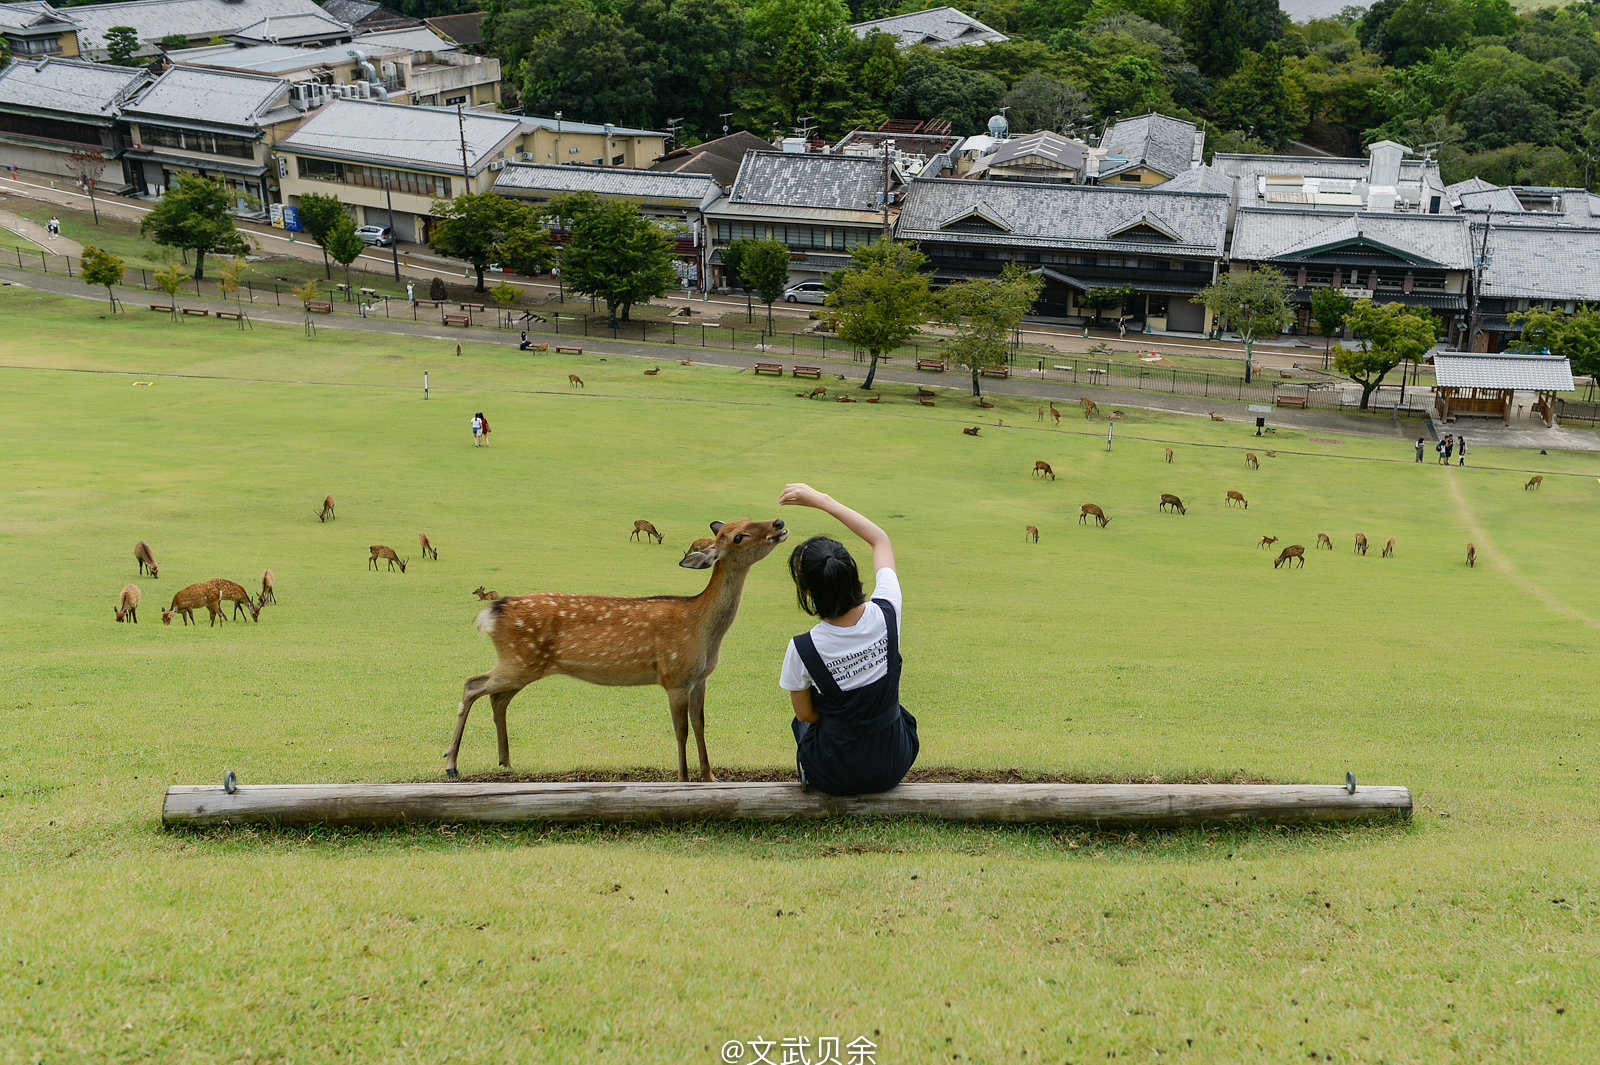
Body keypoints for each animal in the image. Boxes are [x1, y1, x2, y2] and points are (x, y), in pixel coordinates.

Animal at [441, 514, 790, 780]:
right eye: (738, 536)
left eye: (747, 518)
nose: (779, 523)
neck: (702, 629)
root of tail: (491, 612)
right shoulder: (674, 675)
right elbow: (680, 730)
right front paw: (683, 778)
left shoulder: (700, 678)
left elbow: (700, 724)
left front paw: (710, 776)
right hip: (519, 660)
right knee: (471, 685)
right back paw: (451, 763)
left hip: (522, 664)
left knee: (497, 698)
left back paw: (505, 761)